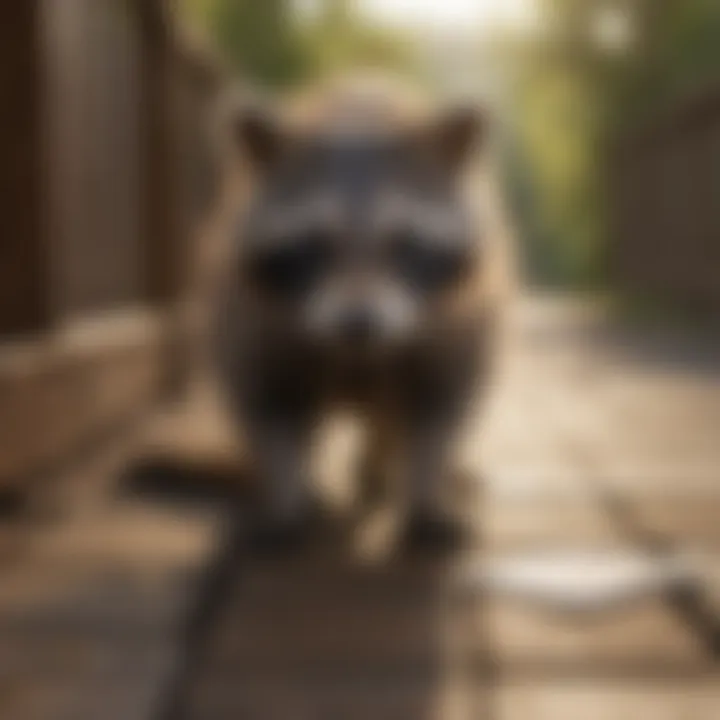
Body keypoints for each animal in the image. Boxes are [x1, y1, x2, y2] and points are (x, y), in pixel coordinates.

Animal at [210, 78, 509, 552]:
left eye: (403, 240)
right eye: (315, 241)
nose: (358, 325)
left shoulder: (459, 319)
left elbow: (439, 412)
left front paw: (426, 493)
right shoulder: (252, 316)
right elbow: (269, 408)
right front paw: (285, 497)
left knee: (391, 416)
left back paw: (394, 470)